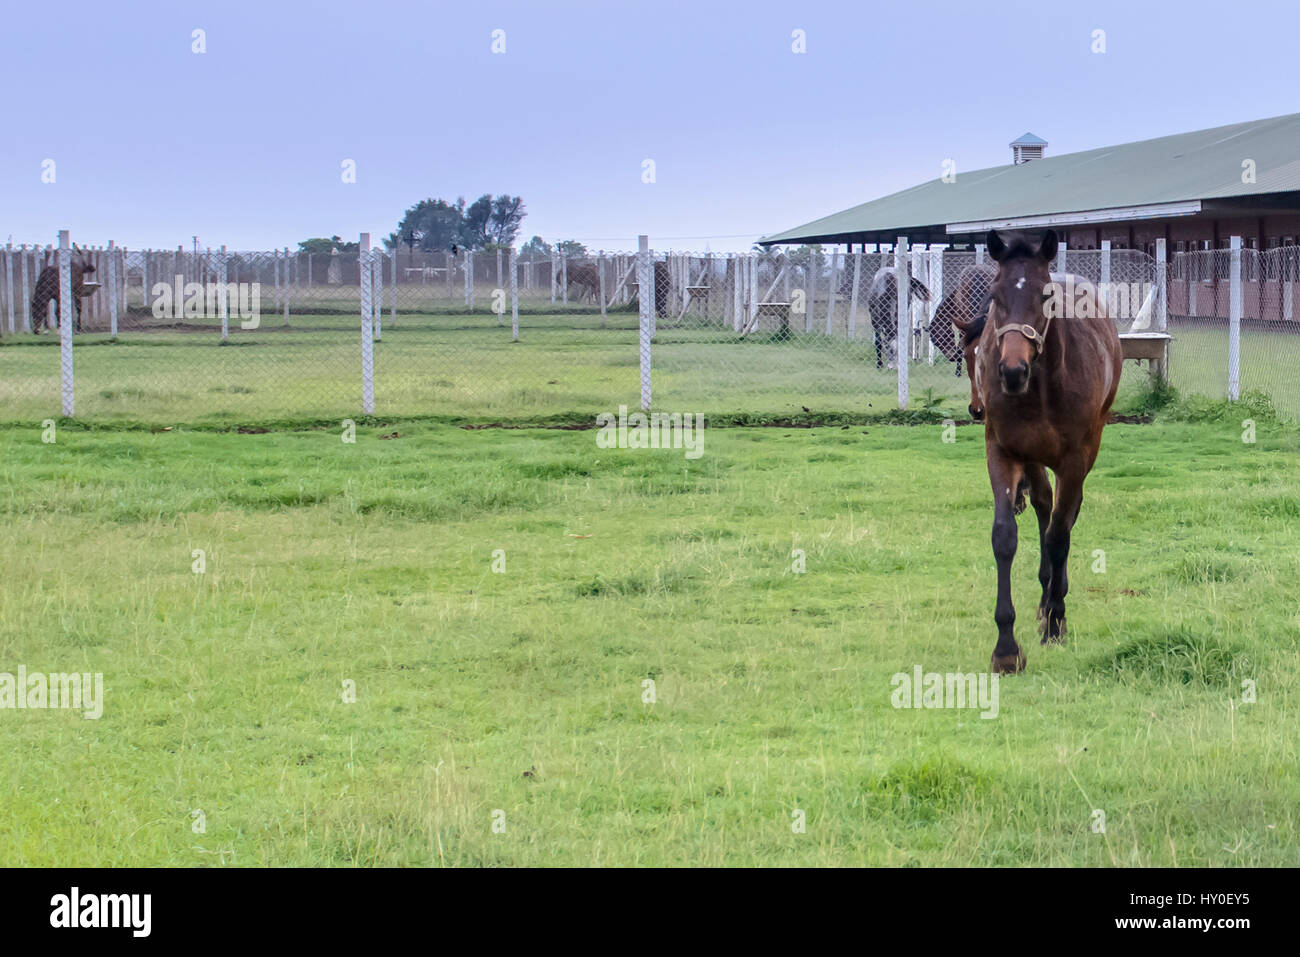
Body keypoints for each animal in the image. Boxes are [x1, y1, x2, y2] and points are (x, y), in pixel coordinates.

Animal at [977, 229, 1121, 675]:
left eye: (1045, 295)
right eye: (994, 294)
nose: (1012, 371)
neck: (1039, 389)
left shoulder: (1074, 459)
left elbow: (1060, 536)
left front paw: (1056, 625)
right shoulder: (1003, 452)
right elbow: (1005, 536)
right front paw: (1006, 649)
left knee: (1064, 518)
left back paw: (1054, 605)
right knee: (1044, 505)